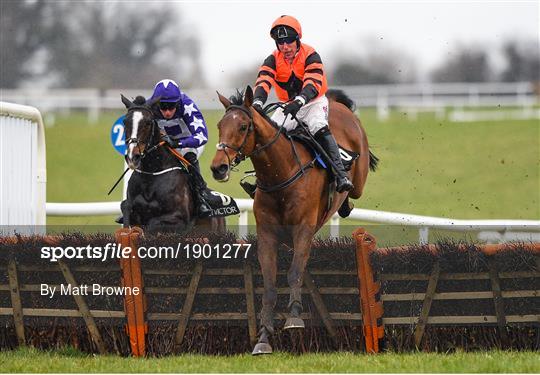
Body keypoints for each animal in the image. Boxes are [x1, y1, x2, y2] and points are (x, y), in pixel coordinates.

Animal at [121, 95, 226, 234]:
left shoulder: (179, 220)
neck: (152, 175)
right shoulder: (133, 213)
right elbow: (126, 210)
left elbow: (152, 224)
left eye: (148, 123)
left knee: (191, 155)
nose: (133, 157)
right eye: (125, 122)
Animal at [209, 86, 378, 356]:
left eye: (244, 126)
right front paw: (263, 337)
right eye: (219, 125)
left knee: (353, 190)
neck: (281, 173)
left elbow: (295, 272)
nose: (218, 167)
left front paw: (295, 317)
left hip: (358, 179)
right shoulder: (267, 236)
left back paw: (344, 190)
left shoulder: (303, 231)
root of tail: (335, 103)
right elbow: (269, 285)